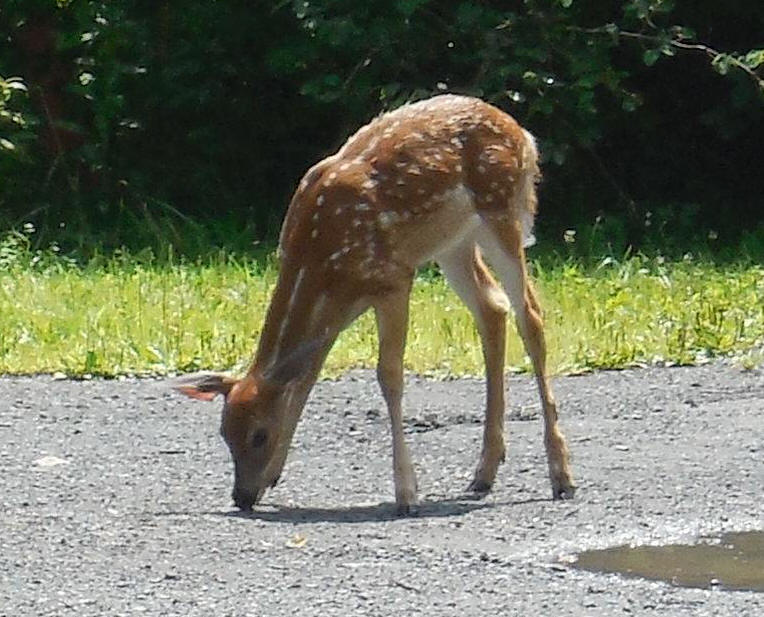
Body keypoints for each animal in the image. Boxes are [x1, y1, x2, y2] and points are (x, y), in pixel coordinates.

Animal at [174, 94, 576, 514]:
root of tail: (523, 134)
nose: (241, 497)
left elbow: (389, 375)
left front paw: (406, 493)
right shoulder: (339, 308)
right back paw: (484, 472)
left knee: (530, 315)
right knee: (493, 307)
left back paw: (561, 476)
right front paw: (274, 476)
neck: (320, 259)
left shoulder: (392, 279)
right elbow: (308, 376)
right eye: (224, 433)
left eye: (259, 435)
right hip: (452, 244)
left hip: (502, 212)